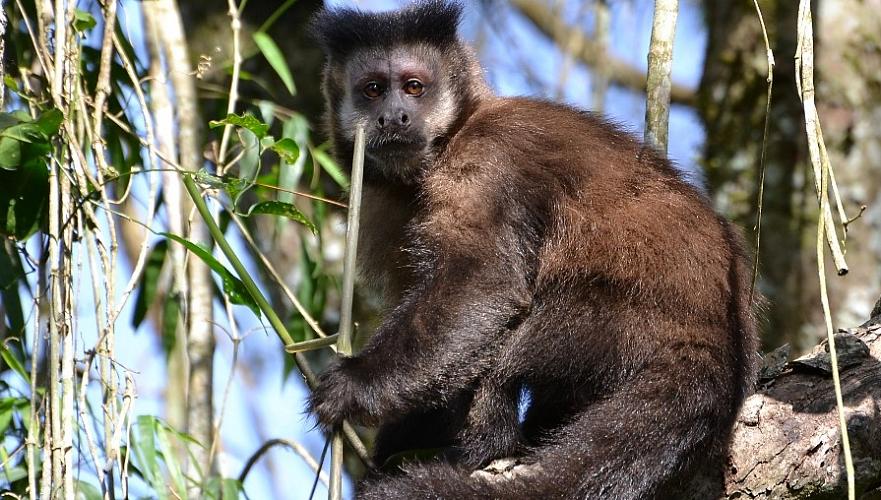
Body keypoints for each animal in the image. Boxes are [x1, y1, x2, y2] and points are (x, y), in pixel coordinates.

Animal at [306, 1, 752, 498]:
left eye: (413, 87)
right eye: (373, 90)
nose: (394, 116)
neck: (451, 137)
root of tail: (722, 345)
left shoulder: (485, 162)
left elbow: (485, 284)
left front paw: (354, 384)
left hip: (629, 326)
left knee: (515, 346)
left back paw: (491, 444)